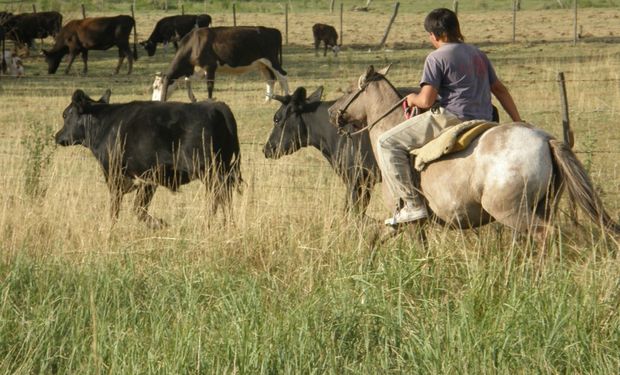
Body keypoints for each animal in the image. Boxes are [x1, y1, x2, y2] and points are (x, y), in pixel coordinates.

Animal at [54, 89, 242, 228]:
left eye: (65, 115)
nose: (57, 136)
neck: (105, 124)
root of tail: (217, 106)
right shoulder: (148, 179)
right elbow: (138, 207)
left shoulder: (116, 174)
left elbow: (120, 206)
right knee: (223, 197)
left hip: (208, 170)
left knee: (218, 195)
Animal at [155, 25, 290, 102]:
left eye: (156, 86)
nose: (155, 101)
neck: (194, 44)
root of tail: (272, 30)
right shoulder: (198, 70)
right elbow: (188, 81)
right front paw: (193, 98)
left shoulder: (210, 66)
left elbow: (209, 86)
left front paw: (209, 100)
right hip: (262, 64)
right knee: (270, 79)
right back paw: (267, 100)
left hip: (272, 60)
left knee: (283, 76)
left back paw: (287, 98)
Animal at [326, 66, 616, 242]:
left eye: (350, 90)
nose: (332, 113)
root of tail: (546, 139)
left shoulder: (407, 223)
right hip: (540, 206)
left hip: (511, 211)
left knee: (546, 235)